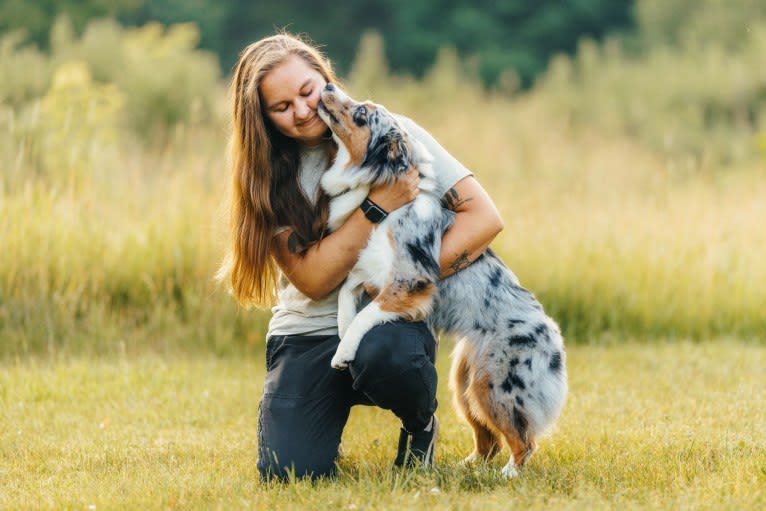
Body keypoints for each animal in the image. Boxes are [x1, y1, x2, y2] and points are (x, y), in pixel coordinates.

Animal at [316, 84, 568, 480]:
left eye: (362, 113)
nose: (327, 86)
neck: (379, 197)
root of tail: (552, 335)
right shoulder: (366, 271)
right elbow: (345, 297)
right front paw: (342, 338)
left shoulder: (409, 282)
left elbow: (367, 314)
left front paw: (344, 350)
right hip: (463, 383)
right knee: (489, 440)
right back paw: (467, 468)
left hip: (494, 383)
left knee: (523, 440)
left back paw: (508, 474)